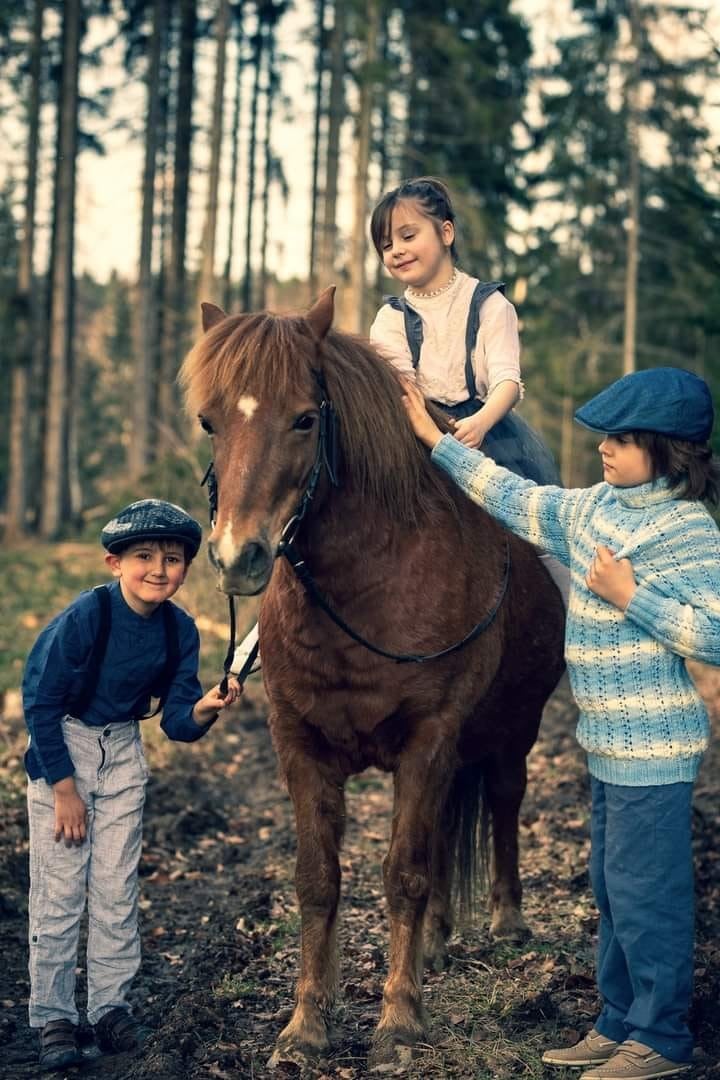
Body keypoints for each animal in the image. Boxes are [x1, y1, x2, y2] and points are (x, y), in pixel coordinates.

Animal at [180, 289, 569, 1071]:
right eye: (210, 421)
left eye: (305, 418)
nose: (239, 557)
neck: (370, 582)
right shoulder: (299, 744)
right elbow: (318, 879)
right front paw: (306, 1024)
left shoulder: (429, 738)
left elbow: (403, 873)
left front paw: (398, 1019)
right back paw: (440, 941)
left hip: (515, 726)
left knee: (503, 798)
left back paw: (506, 921)